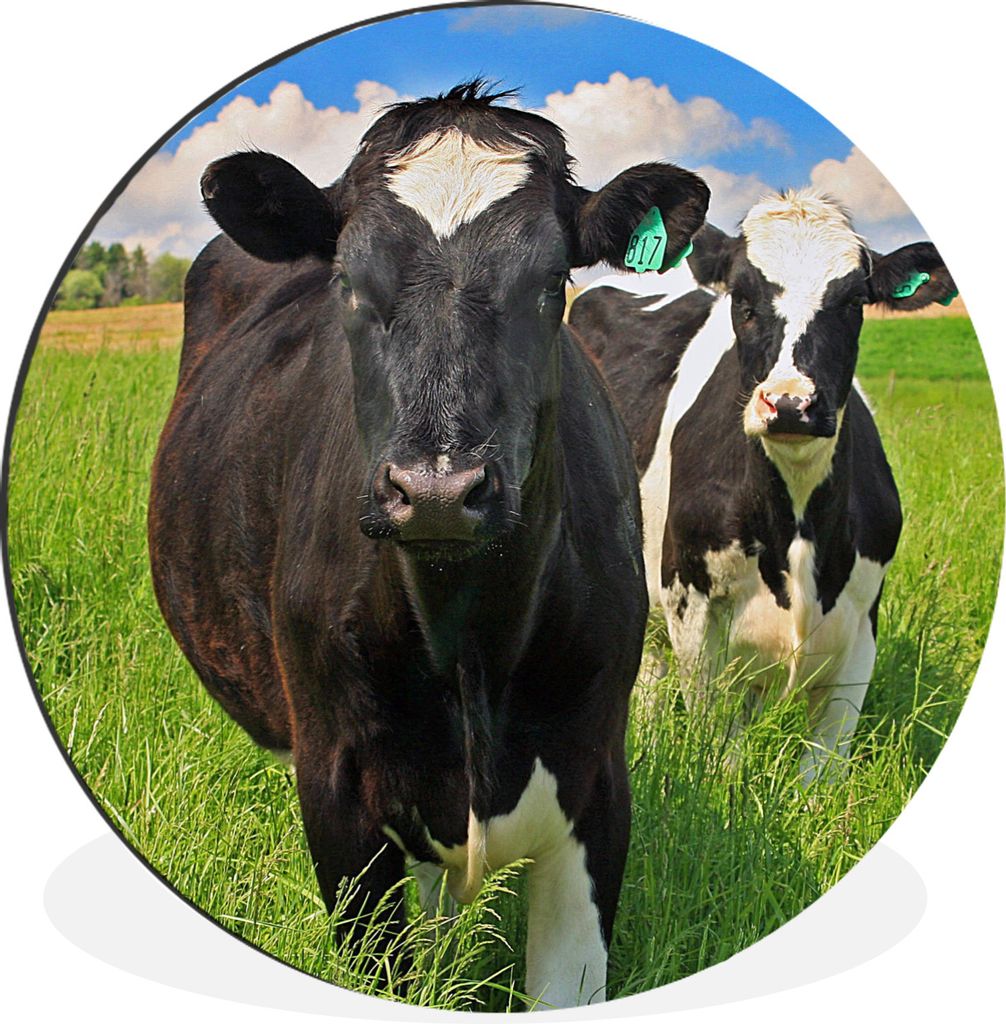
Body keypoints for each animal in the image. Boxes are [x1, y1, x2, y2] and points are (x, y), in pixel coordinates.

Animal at [147, 82, 710, 1007]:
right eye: (346, 280)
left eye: (552, 283)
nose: (439, 490)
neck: (468, 639)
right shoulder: (337, 790)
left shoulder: (596, 782)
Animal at [569, 189, 956, 784]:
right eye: (744, 301)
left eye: (854, 302)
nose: (791, 403)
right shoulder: (692, 605)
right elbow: (718, 749)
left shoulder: (862, 623)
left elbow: (822, 772)